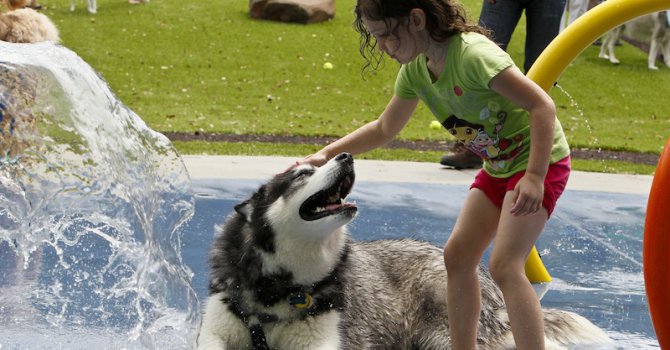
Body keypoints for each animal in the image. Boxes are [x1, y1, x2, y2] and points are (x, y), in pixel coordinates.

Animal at [197, 154, 612, 350]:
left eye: (316, 165)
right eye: (301, 174)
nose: (346, 155)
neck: (281, 288)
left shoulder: (324, 340)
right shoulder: (218, 328)